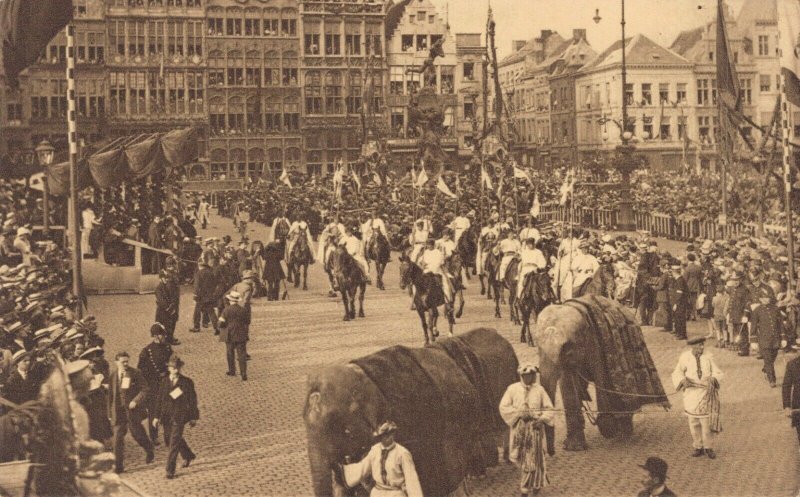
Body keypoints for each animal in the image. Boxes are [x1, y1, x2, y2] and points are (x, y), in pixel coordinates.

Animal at [536, 294, 672, 454]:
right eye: (537, 348)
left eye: (567, 349)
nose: (549, 452)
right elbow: (568, 385)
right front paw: (574, 448)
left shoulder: (597, 343)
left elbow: (602, 377)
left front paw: (609, 429)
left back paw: (624, 433)